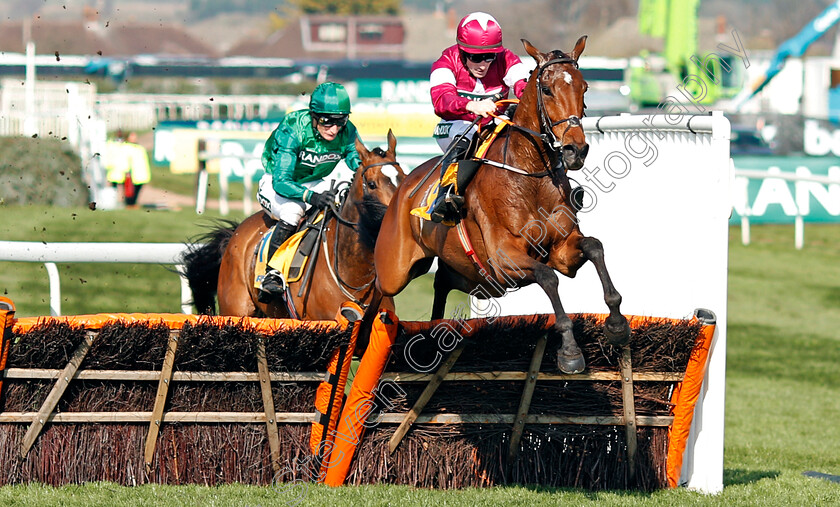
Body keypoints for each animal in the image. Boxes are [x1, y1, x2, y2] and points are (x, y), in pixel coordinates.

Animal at [181, 133, 406, 320]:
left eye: (404, 178)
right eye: (372, 184)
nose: (396, 219)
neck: (353, 273)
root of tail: (235, 234)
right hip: (236, 309)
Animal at [364, 39, 628, 374]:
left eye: (584, 86)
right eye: (546, 89)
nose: (575, 150)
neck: (529, 173)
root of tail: (405, 186)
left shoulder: (562, 250)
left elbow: (594, 247)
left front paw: (617, 325)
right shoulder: (505, 261)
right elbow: (547, 277)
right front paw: (570, 350)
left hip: (473, 276)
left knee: (441, 282)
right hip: (395, 269)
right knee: (378, 290)